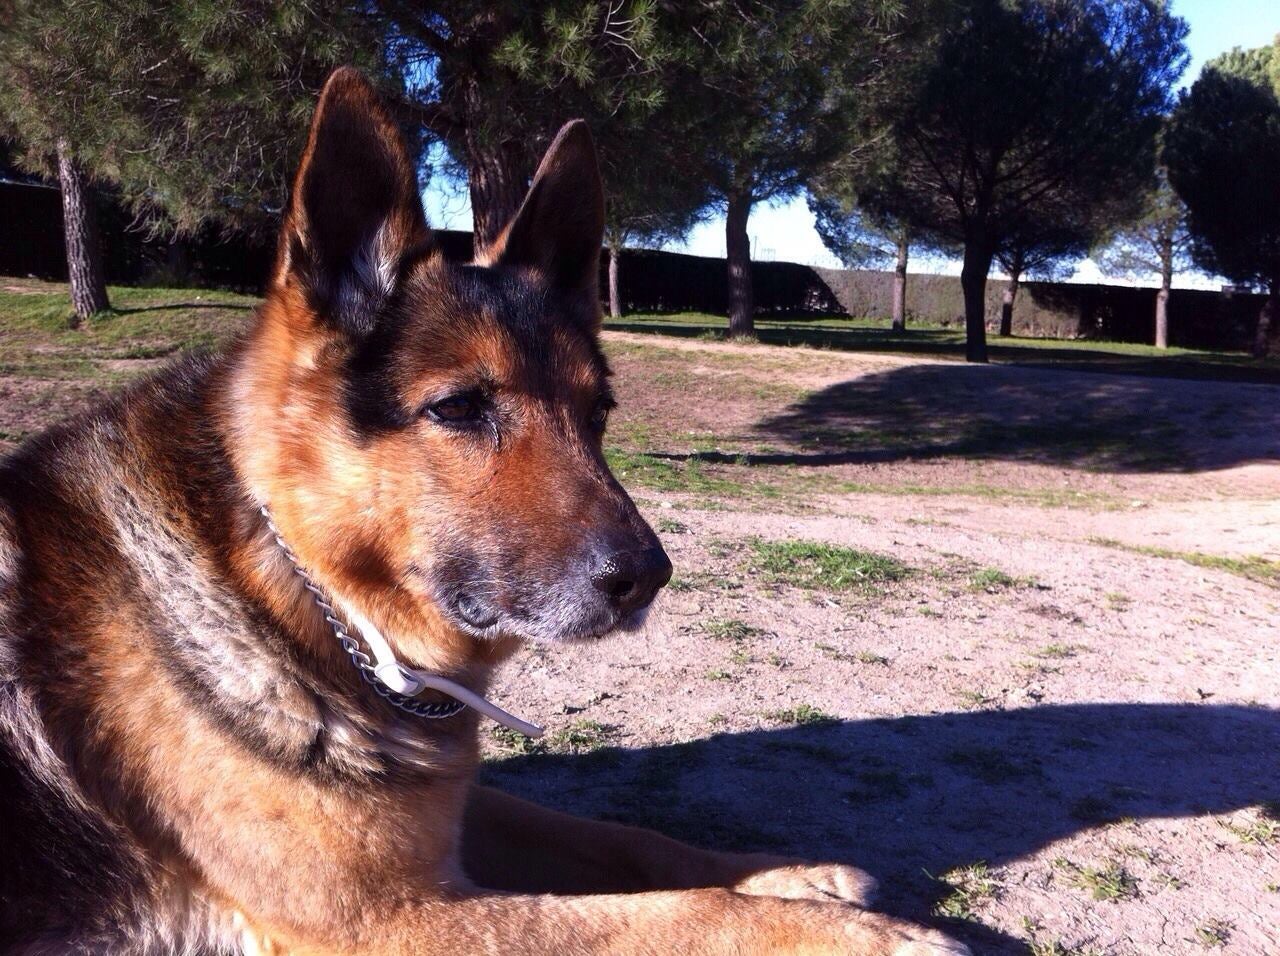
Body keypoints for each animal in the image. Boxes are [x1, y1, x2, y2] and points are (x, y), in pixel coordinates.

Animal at [0, 69, 962, 956]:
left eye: (598, 414)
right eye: (459, 407)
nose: (649, 579)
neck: (298, 591)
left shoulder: (445, 831)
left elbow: (623, 840)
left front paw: (793, 876)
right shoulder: (386, 922)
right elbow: (667, 916)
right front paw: (855, 935)